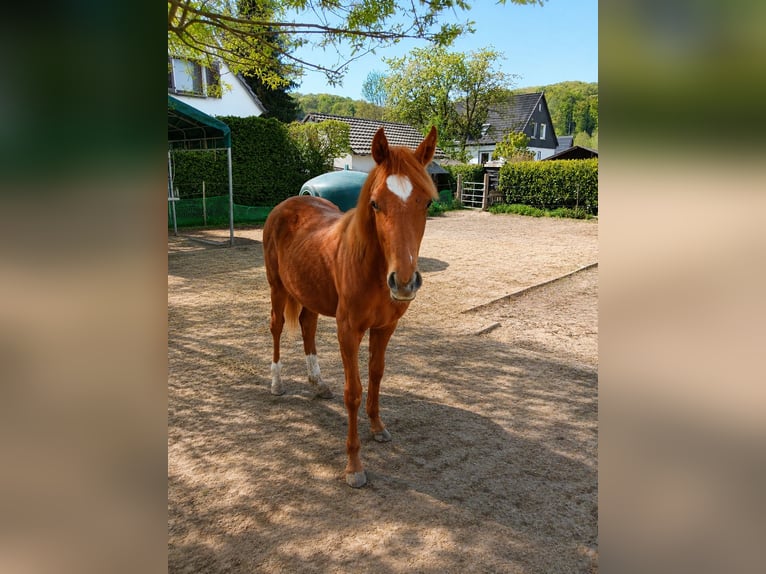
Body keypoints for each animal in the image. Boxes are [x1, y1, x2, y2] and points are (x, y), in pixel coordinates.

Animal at [262, 126, 438, 488]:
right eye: (375, 203)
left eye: (426, 202)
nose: (403, 281)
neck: (371, 267)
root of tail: (287, 204)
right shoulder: (349, 330)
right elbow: (353, 391)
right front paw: (354, 466)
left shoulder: (384, 328)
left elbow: (376, 375)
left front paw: (378, 428)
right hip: (277, 288)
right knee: (276, 328)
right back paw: (276, 383)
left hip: (309, 294)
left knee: (307, 327)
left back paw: (317, 384)